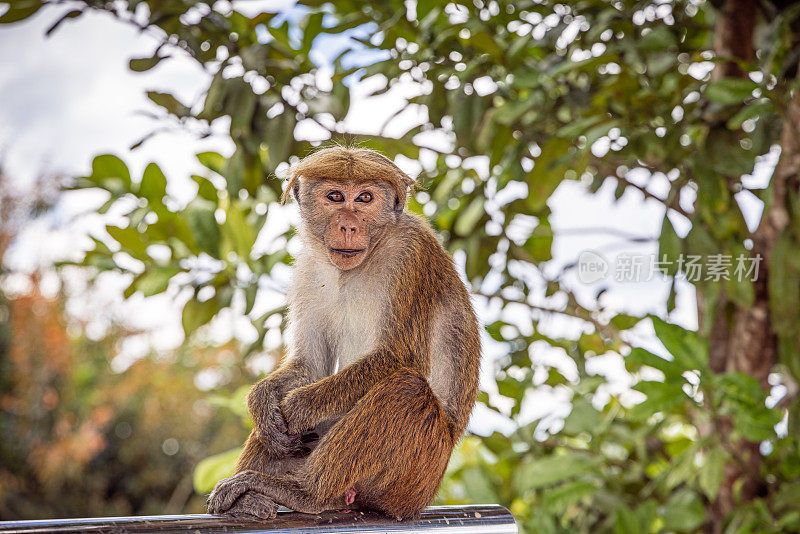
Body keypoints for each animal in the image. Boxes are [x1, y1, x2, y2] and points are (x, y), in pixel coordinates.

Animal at [206, 147, 482, 524]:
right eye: (335, 197)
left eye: (364, 198)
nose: (349, 225)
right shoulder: (308, 268)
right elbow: (310, 366)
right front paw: (262, 401)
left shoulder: (412, 253)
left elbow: (399, 357)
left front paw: (299, 407)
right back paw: (251, 499)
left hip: (416, 473)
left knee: (407, 388)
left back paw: (306, 494)